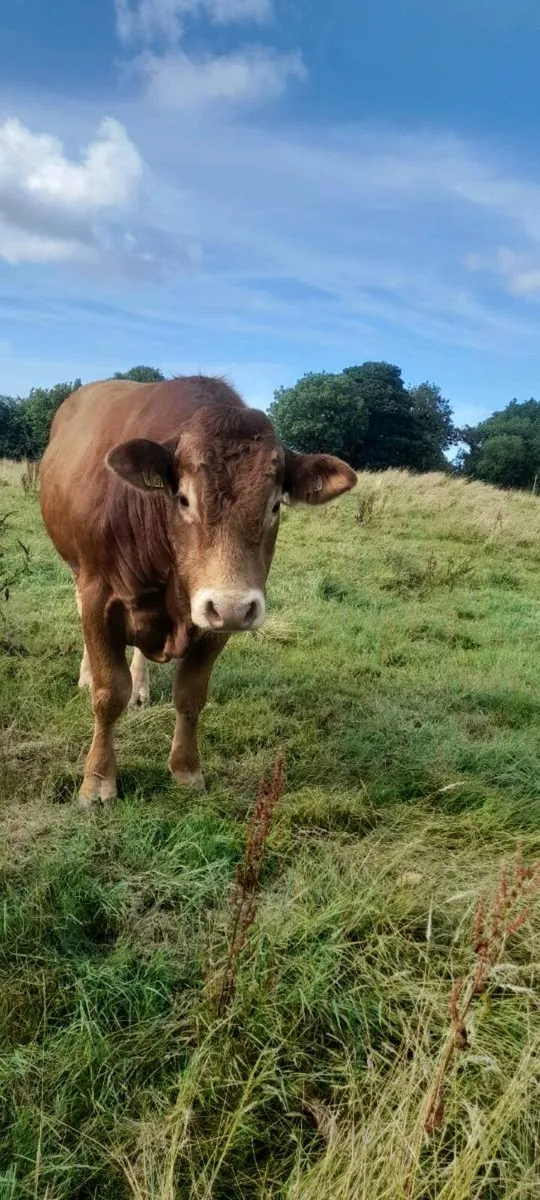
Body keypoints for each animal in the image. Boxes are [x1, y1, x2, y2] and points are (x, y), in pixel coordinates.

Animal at [39, 376, 356, 808]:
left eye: (275, 505)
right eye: (184, 498)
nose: (233, 607)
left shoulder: (212, 618)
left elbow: (190, 694)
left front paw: (186, 769)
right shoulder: (98, 597)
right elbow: (108, 693)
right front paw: (98, 782)